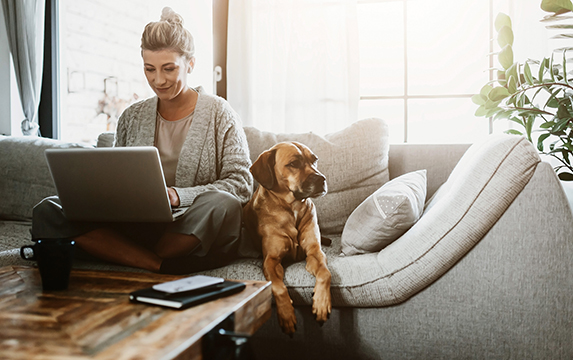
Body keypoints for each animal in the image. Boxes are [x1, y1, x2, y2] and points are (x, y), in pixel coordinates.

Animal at [242, 141, 330, 334]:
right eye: (294, 164)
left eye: (314, 160)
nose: (322, 179)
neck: (292, 208)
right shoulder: (271, 260)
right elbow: (278, 287)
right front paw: (287, 314)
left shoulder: (315, 252)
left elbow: (325, 273)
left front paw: (321, 303)